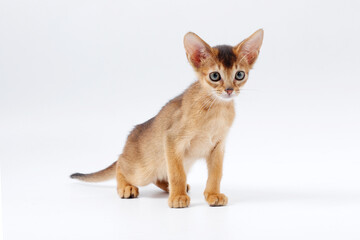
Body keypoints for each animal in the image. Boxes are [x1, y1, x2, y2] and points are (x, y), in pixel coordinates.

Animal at [71, 28, 264, 208]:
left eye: (240, 74)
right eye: (215, 76)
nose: (229, 90)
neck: (216, 110)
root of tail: (129, 143)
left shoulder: (218, 147)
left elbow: (216, 174)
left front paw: (212, 194)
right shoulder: (172, 139)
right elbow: (177, 174)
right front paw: (178, 198)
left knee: (159, 176)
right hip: (142, 171)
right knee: (120, 163)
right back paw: (126, 187)